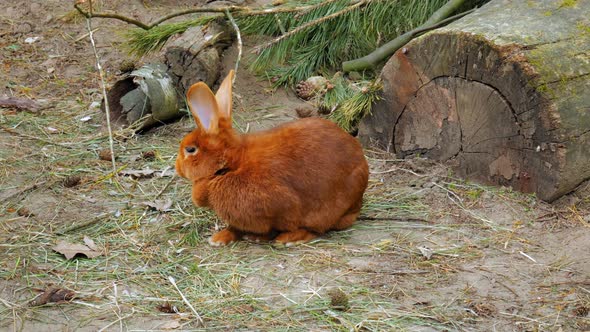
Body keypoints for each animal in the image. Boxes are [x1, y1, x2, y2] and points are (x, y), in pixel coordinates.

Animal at [176, 70, 370, 246]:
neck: (231, 165)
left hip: (328, 210)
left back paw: (288, 240)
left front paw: (255, 238)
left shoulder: (279, 208)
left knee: (318, 228)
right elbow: (236, 228)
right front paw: (219, 238)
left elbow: (272, 228)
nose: (177, 168)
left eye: (190, 149)